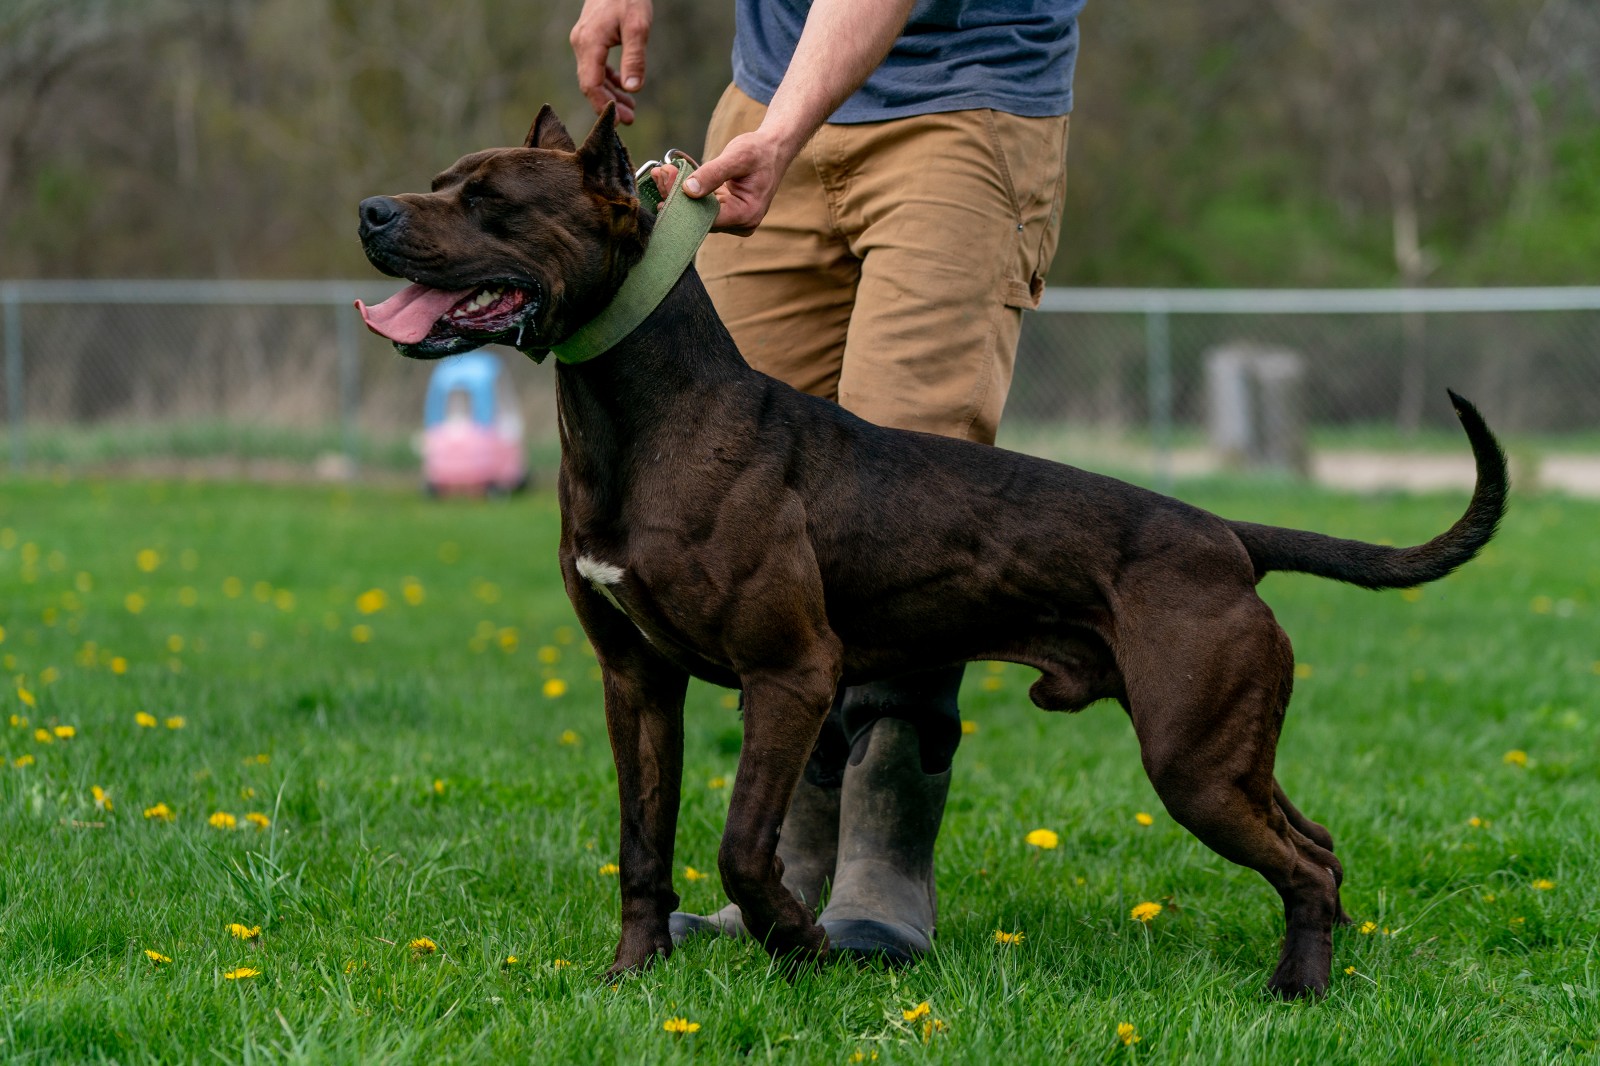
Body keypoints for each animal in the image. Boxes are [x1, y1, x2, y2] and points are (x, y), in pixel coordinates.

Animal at [356, 104, 1504, 992]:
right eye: (440, 183)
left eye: (490, 202)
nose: (371, 212)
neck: (640, 413)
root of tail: (1228, 537)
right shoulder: (634, 679)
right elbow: (646, 844)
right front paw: (633, 974)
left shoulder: (789, 674)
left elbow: (741, 844)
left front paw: (802, 944)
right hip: (1227, 752)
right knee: (1319, 847)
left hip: (1193, 758)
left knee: (1301, 865)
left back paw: (1297, 988)